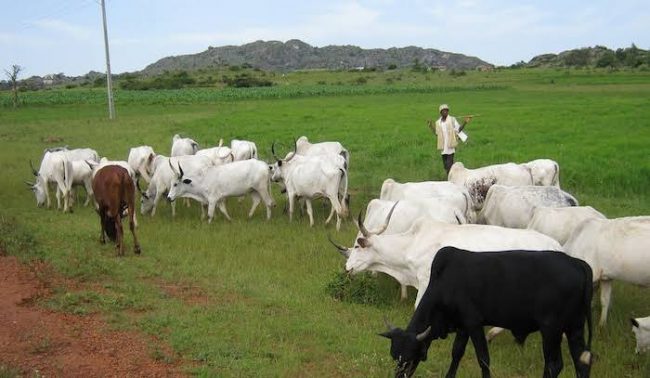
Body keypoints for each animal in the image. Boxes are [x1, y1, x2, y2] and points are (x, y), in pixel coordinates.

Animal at [378, 247, 588, 378]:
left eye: (408, 358)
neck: (445, 281)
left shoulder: (474, 323)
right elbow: (456, 353)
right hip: (574, 329)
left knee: (554, 365)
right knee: (581, 362)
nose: (398, 375)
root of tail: (577, 263)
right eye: (394, 355)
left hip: (551, 330)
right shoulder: (462, 326)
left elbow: (483, 359)